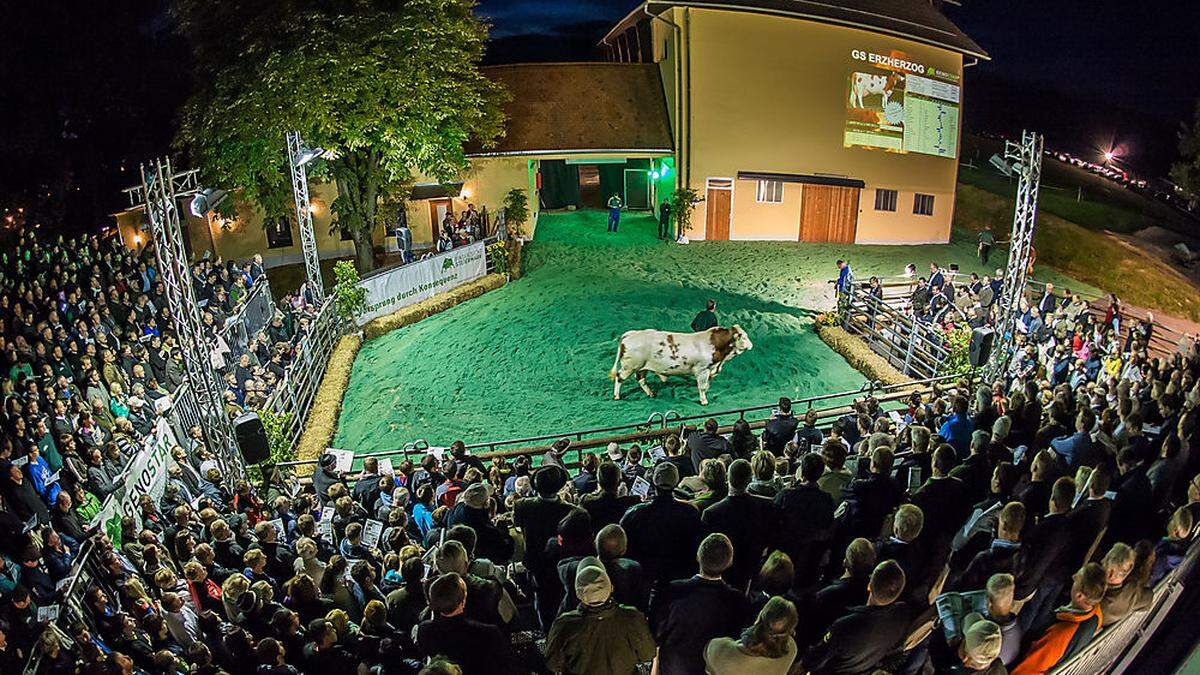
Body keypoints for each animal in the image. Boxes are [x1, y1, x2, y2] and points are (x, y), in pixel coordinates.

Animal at [609, 326, 748, 403]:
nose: (750, 344)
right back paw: (617, 396)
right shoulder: (702, 370)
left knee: (640, 379)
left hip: (642, 367)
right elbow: (702, 387)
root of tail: (631, 333)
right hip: (629, 366)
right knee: (619, 377)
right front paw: (704, 400)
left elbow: (706, 385)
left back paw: (651, 393)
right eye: (743, 336)